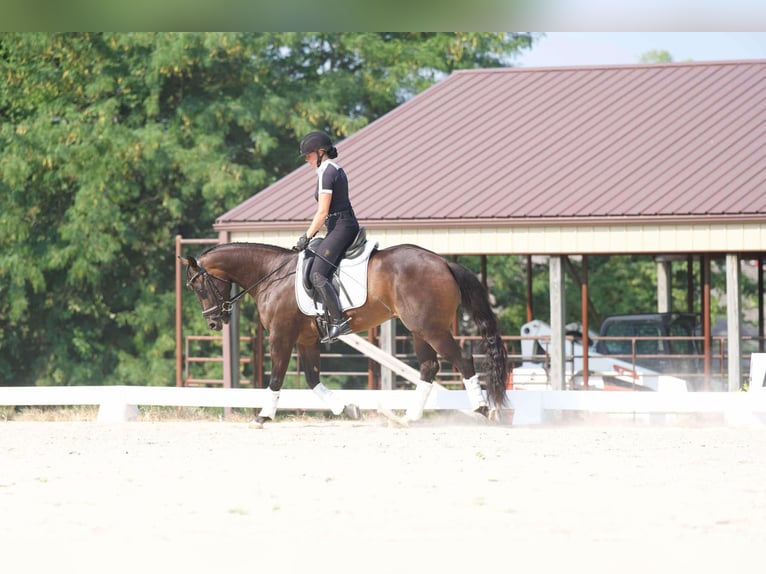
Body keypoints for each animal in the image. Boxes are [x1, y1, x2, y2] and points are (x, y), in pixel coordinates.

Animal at [180, 241, 508, 426]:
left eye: (198, 288)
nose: (214, 322)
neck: (272, 275)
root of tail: (443, 262)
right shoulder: (306, 339)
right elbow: (313, 380)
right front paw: (349, 409)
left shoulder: (281, 337)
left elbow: (276, 379)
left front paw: (262, 416)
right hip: (418, 329)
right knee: (430, 366)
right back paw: (408, 417)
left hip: (431, 328)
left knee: (463, 361)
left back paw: (483, 409)